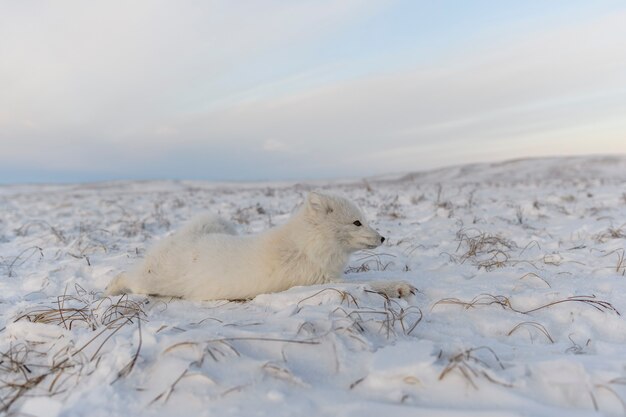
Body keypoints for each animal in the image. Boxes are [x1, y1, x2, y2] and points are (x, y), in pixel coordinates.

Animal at [106, 192, 414, 300]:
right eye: (357, 223)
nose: (383, 238)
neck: (306, 246)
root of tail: (184, 236)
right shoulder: (319, 281)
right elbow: (368, 283)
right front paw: (399, 286)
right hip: (152, 281)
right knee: (125, 276)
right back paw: (110, 289)